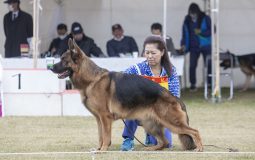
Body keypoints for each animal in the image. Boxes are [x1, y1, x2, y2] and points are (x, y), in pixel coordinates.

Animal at [50, 38, 202, 151]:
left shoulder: (105, 118)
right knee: (164, 142)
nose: (50, 67)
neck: (91, 79)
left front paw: (103, 150)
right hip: (149, 123)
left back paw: (199, 148)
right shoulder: (99, 119)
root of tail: (175, 97)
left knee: (194, 131)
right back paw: (151, 148)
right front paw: (98, 149)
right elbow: (100, 136)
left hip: (171, 122)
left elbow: (105, 136)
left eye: (63, 59)